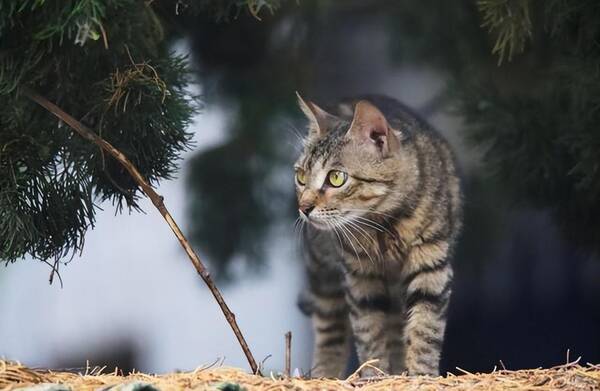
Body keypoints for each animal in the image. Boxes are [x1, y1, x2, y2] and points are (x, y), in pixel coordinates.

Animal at [296, 93, 464, 378]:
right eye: (301, 176)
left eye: (336, 178)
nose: (303, 207)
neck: (385, 224)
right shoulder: (359, 276)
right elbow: (369, 332)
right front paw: (374, 375)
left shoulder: (432, 264)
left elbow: (425, 329)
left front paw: (421, 375)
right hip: (323, 273)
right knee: (330, 331)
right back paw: (325, 373)